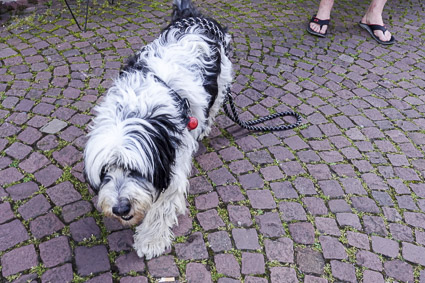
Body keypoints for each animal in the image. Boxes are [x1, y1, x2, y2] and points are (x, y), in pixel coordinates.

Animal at [83, 0, 232, 260]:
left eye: (135, 170)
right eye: (104, 171)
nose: (120, 208)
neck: (138, 109)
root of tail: (193, 16)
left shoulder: (173, 163)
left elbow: (162, 205)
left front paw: (150, 240)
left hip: (221, 79)